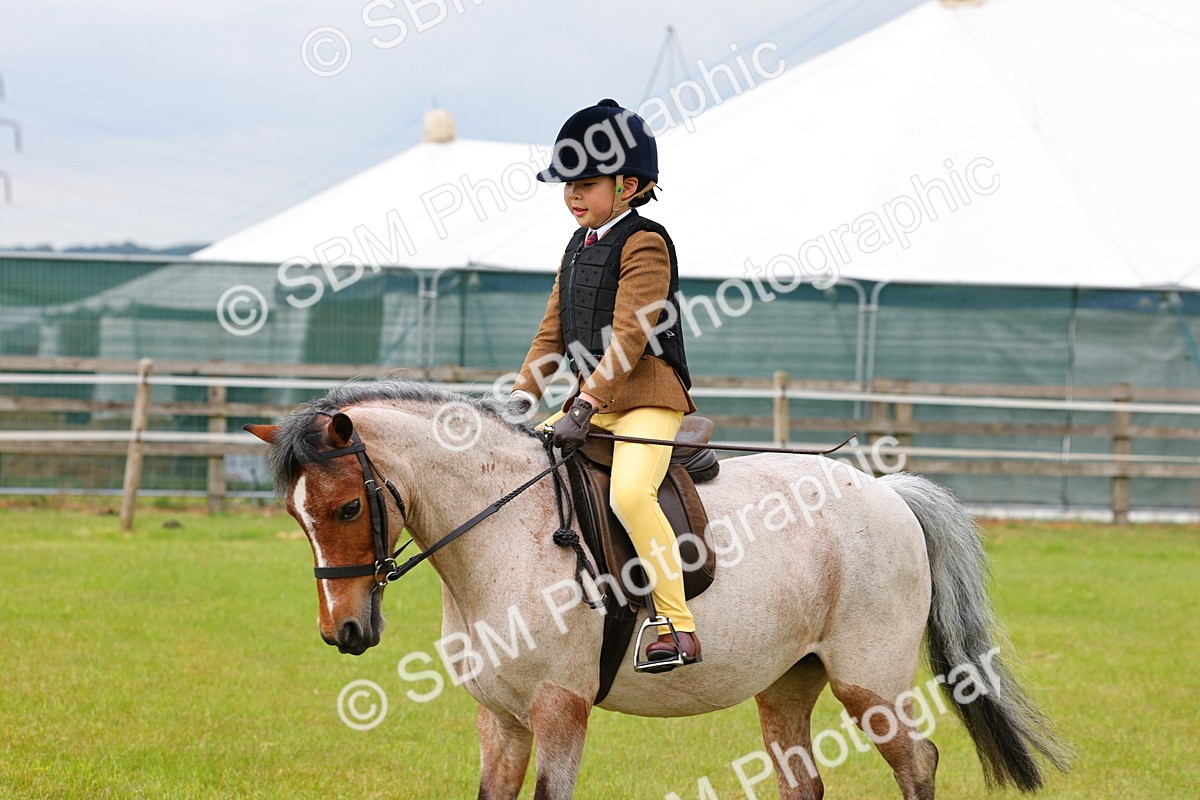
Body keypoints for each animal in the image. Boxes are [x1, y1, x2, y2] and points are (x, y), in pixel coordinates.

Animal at [244, 380, 1070, 799]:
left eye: (347, 509)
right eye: (296, 513)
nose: (344, 631)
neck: (502, 529)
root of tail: (886, 491)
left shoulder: (560, 710)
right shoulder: (500, 717)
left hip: (867, 681)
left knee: (916, 762)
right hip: (787, 682)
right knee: (802, 781)